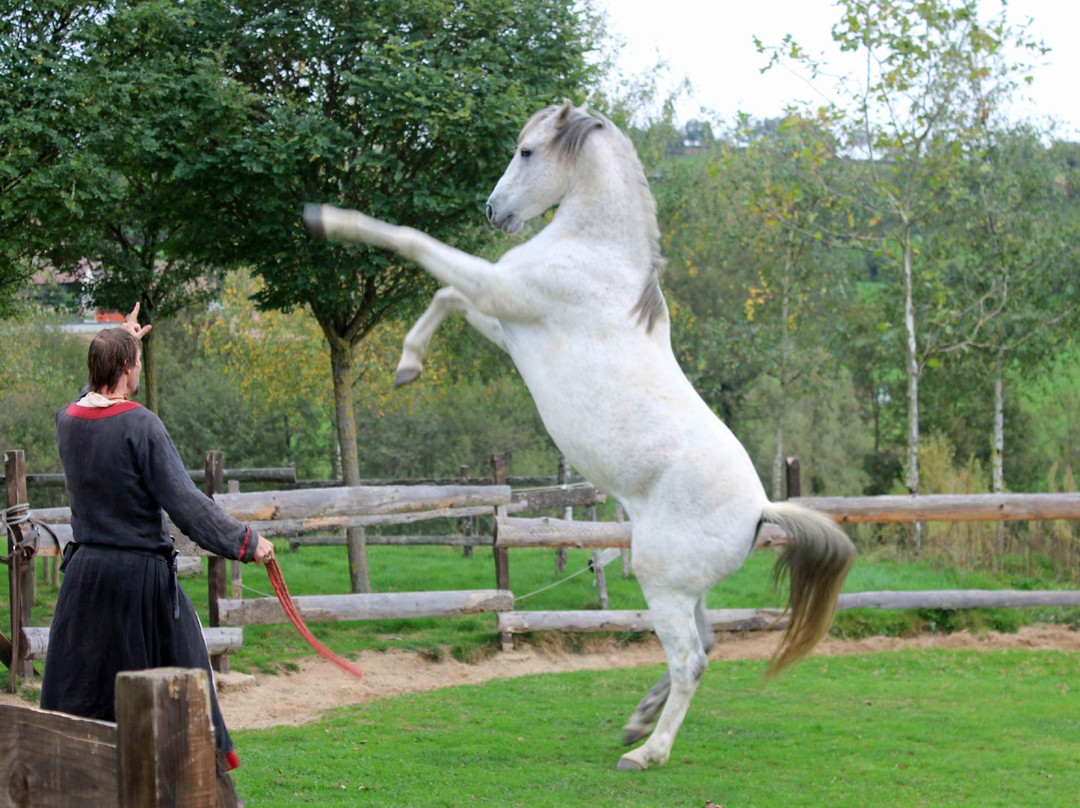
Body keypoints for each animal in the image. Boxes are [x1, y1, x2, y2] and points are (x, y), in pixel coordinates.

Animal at [302, 101, 851, 769]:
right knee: (708, 643)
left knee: (691, 660)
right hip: (684, 587)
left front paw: (327, 218)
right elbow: (445, 293)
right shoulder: (504, 317)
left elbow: (416, 245)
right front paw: (409, 366)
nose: (494, 212)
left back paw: (647, 753)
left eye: (527, 151)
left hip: (661, 580)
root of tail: (762, 509)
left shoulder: (503, 293)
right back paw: (636, 723)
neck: (595, 255)